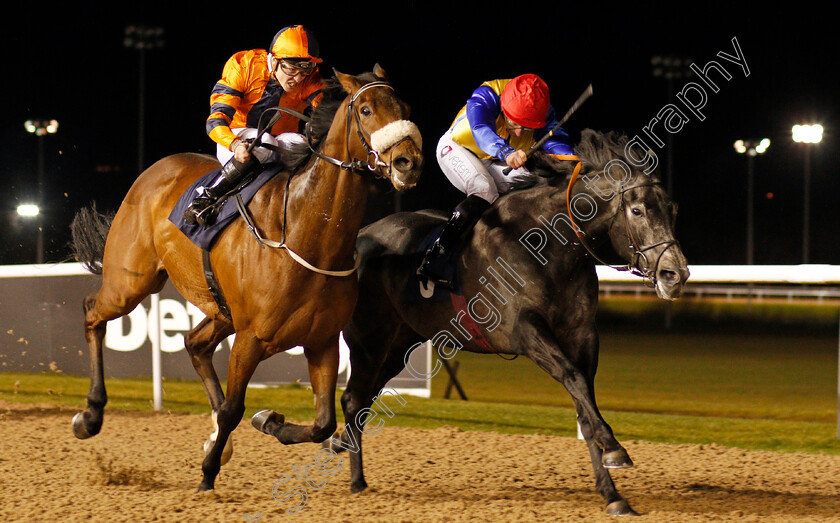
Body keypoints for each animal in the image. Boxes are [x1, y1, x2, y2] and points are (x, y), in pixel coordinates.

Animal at [70, 64, 426, 492]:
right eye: (368, 110)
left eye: (405, 107)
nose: (408, 162)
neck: (306, 236)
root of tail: (154, 170)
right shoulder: (251, 338)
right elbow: (232, 409)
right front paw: (208, 474)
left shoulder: (322, 341)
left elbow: (323, 424)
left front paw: (268, 422)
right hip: (132, 282)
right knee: (92, 311)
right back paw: (90, 415)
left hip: (219, 309)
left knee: (194, 344)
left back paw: (214, 442)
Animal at [326, 131, 688, 516]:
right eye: (637, 210)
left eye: (672, 209)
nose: (675, 275)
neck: (547, 245)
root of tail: (361, 235)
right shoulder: (524, 330)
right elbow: (573, 378)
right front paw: (615, 448)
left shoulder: (582, 333)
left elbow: (584, 403)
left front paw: (613, 493)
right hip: (368, 340)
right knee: (352, 399)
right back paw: (356, 479)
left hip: (399, 343)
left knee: (364, 399)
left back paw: (344, 451)